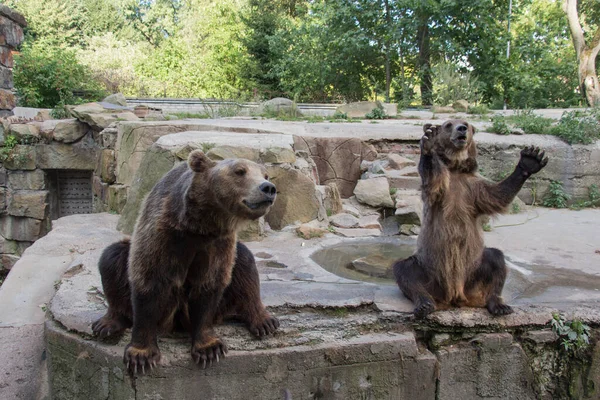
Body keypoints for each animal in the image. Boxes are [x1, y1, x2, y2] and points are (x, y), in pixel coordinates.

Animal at [92, 149, 280, 372]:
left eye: (265, 174)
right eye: (239, 171)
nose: (268, 188)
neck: (198, 226)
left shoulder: (217, 245)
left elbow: (209, 285)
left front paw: (209, 348)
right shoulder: (162, 234)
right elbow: (148, 283)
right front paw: (141, 355)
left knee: (244, 262)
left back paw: (264, 321)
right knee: (111, 259)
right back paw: (107, 324)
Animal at [394, 119, 548, 318]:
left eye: (465, 123)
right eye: (448, 124)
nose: (462, 129)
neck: (455, 169)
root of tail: (455, 294)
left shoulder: (473, 189)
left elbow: (497, 195)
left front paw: (530, 159)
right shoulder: (442, 189)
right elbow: (432, 178)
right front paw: (428, 142)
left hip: (474, 269)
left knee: (495, 260)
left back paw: (499, 305)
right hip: (430, 270)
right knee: (406, 270)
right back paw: (425, 304)